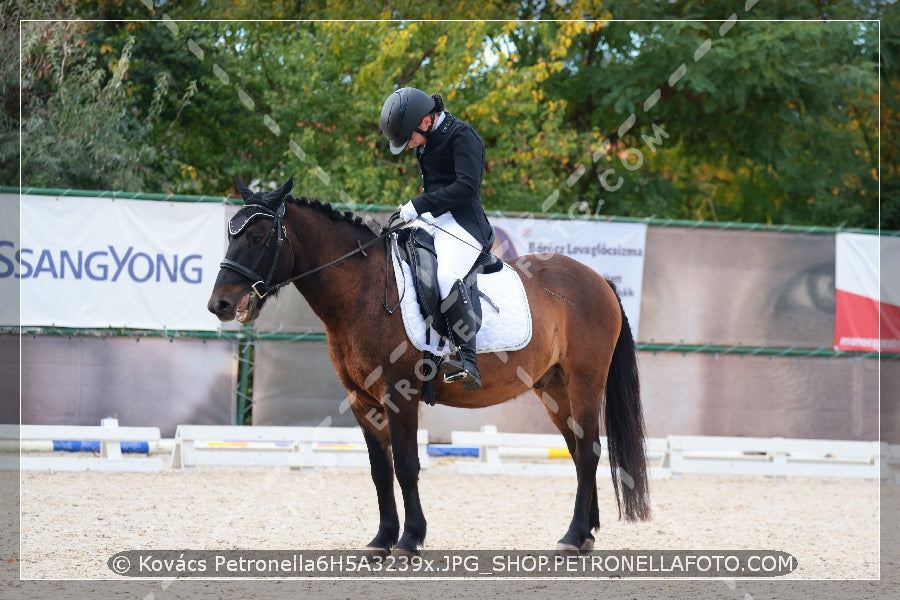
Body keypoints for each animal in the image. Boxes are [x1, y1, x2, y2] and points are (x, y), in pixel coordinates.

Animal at [207, 177, 652, 552]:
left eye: (259, 236)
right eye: (229, 237)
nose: (220, 305)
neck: (364, 290)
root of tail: (598, 279)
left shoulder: (399, 395)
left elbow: (406, 466)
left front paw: (409, 540)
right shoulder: (362, 400)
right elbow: (380, 470)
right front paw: (382, 540)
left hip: (583, 381)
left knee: (590, 450)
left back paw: (573, 536)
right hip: (554, 389)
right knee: (578, 451)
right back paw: (586, 534)